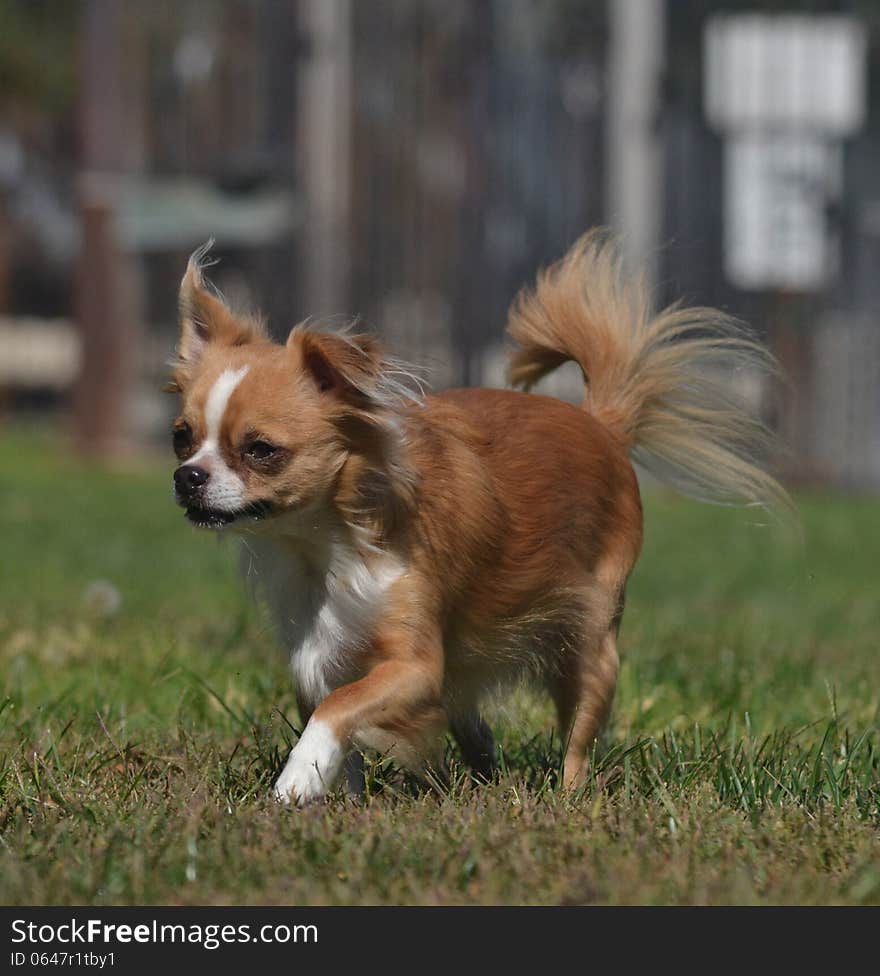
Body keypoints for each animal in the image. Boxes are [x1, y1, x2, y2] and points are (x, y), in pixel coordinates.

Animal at [170, 233, 784, 804]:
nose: (187, 477)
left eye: (261, 450)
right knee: (476, 729)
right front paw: (338, 791)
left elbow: (339, 708)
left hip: (590, 643)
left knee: (578, 738)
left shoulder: (416, 667)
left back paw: (567, 798)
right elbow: (338, 715)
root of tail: (601, 424)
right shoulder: (320, 650)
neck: (330, 542)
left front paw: (297, 778)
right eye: (182, 437)